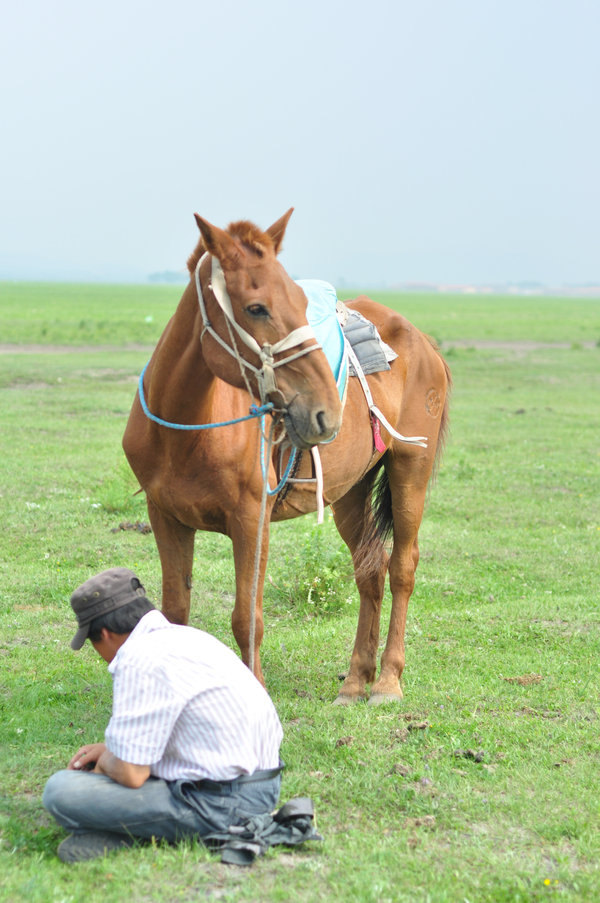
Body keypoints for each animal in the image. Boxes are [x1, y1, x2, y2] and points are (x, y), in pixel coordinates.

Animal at [123, 210, 450, 708]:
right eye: (256, 307)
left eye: (298, 299)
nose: (325, 410)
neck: (184, 431)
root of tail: (424, 342)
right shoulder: (165, 517)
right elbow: (176, 611)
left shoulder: (250, 520)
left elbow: (247, 618)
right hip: (350, 491)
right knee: (370, 571)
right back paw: (355, 681)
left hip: (410, 468)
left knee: (402, 567)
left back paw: (388, 681)